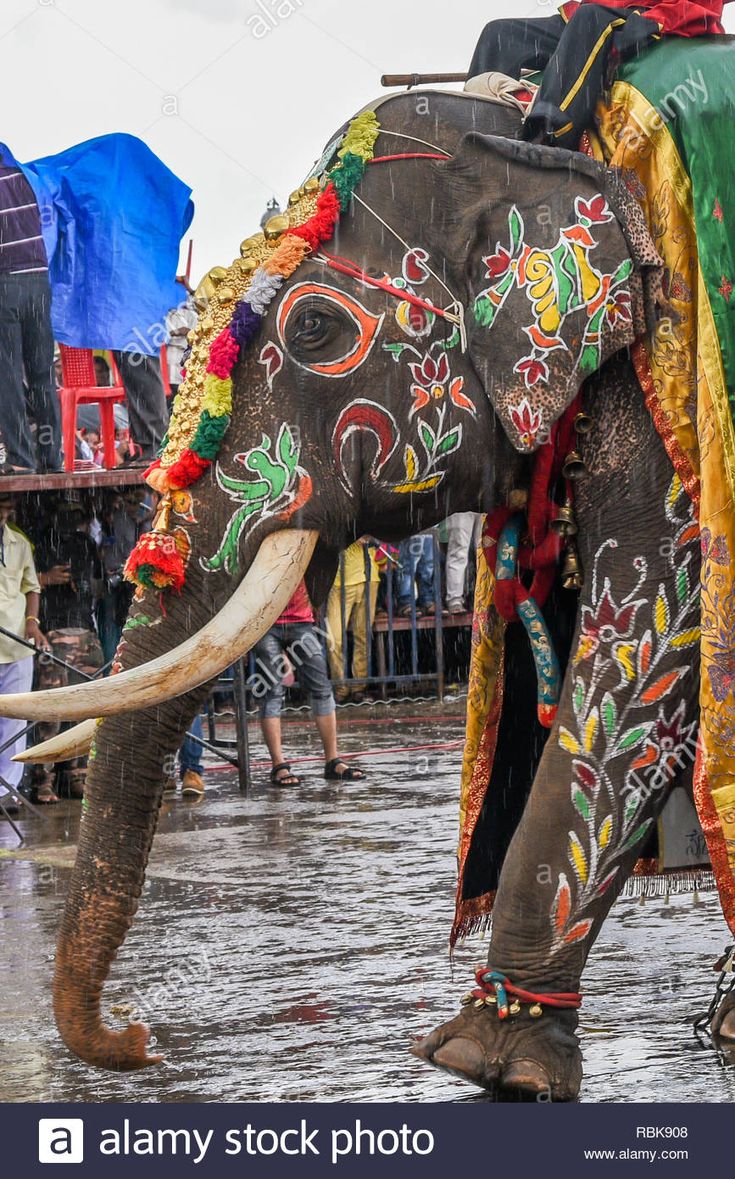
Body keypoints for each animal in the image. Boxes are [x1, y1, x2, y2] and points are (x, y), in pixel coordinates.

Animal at [4, 85, 731, 1103]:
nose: (139, 1038)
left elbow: (647, 639)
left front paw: (488, 1060)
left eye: (316, 330)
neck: (537, 134)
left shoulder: (665, 392)